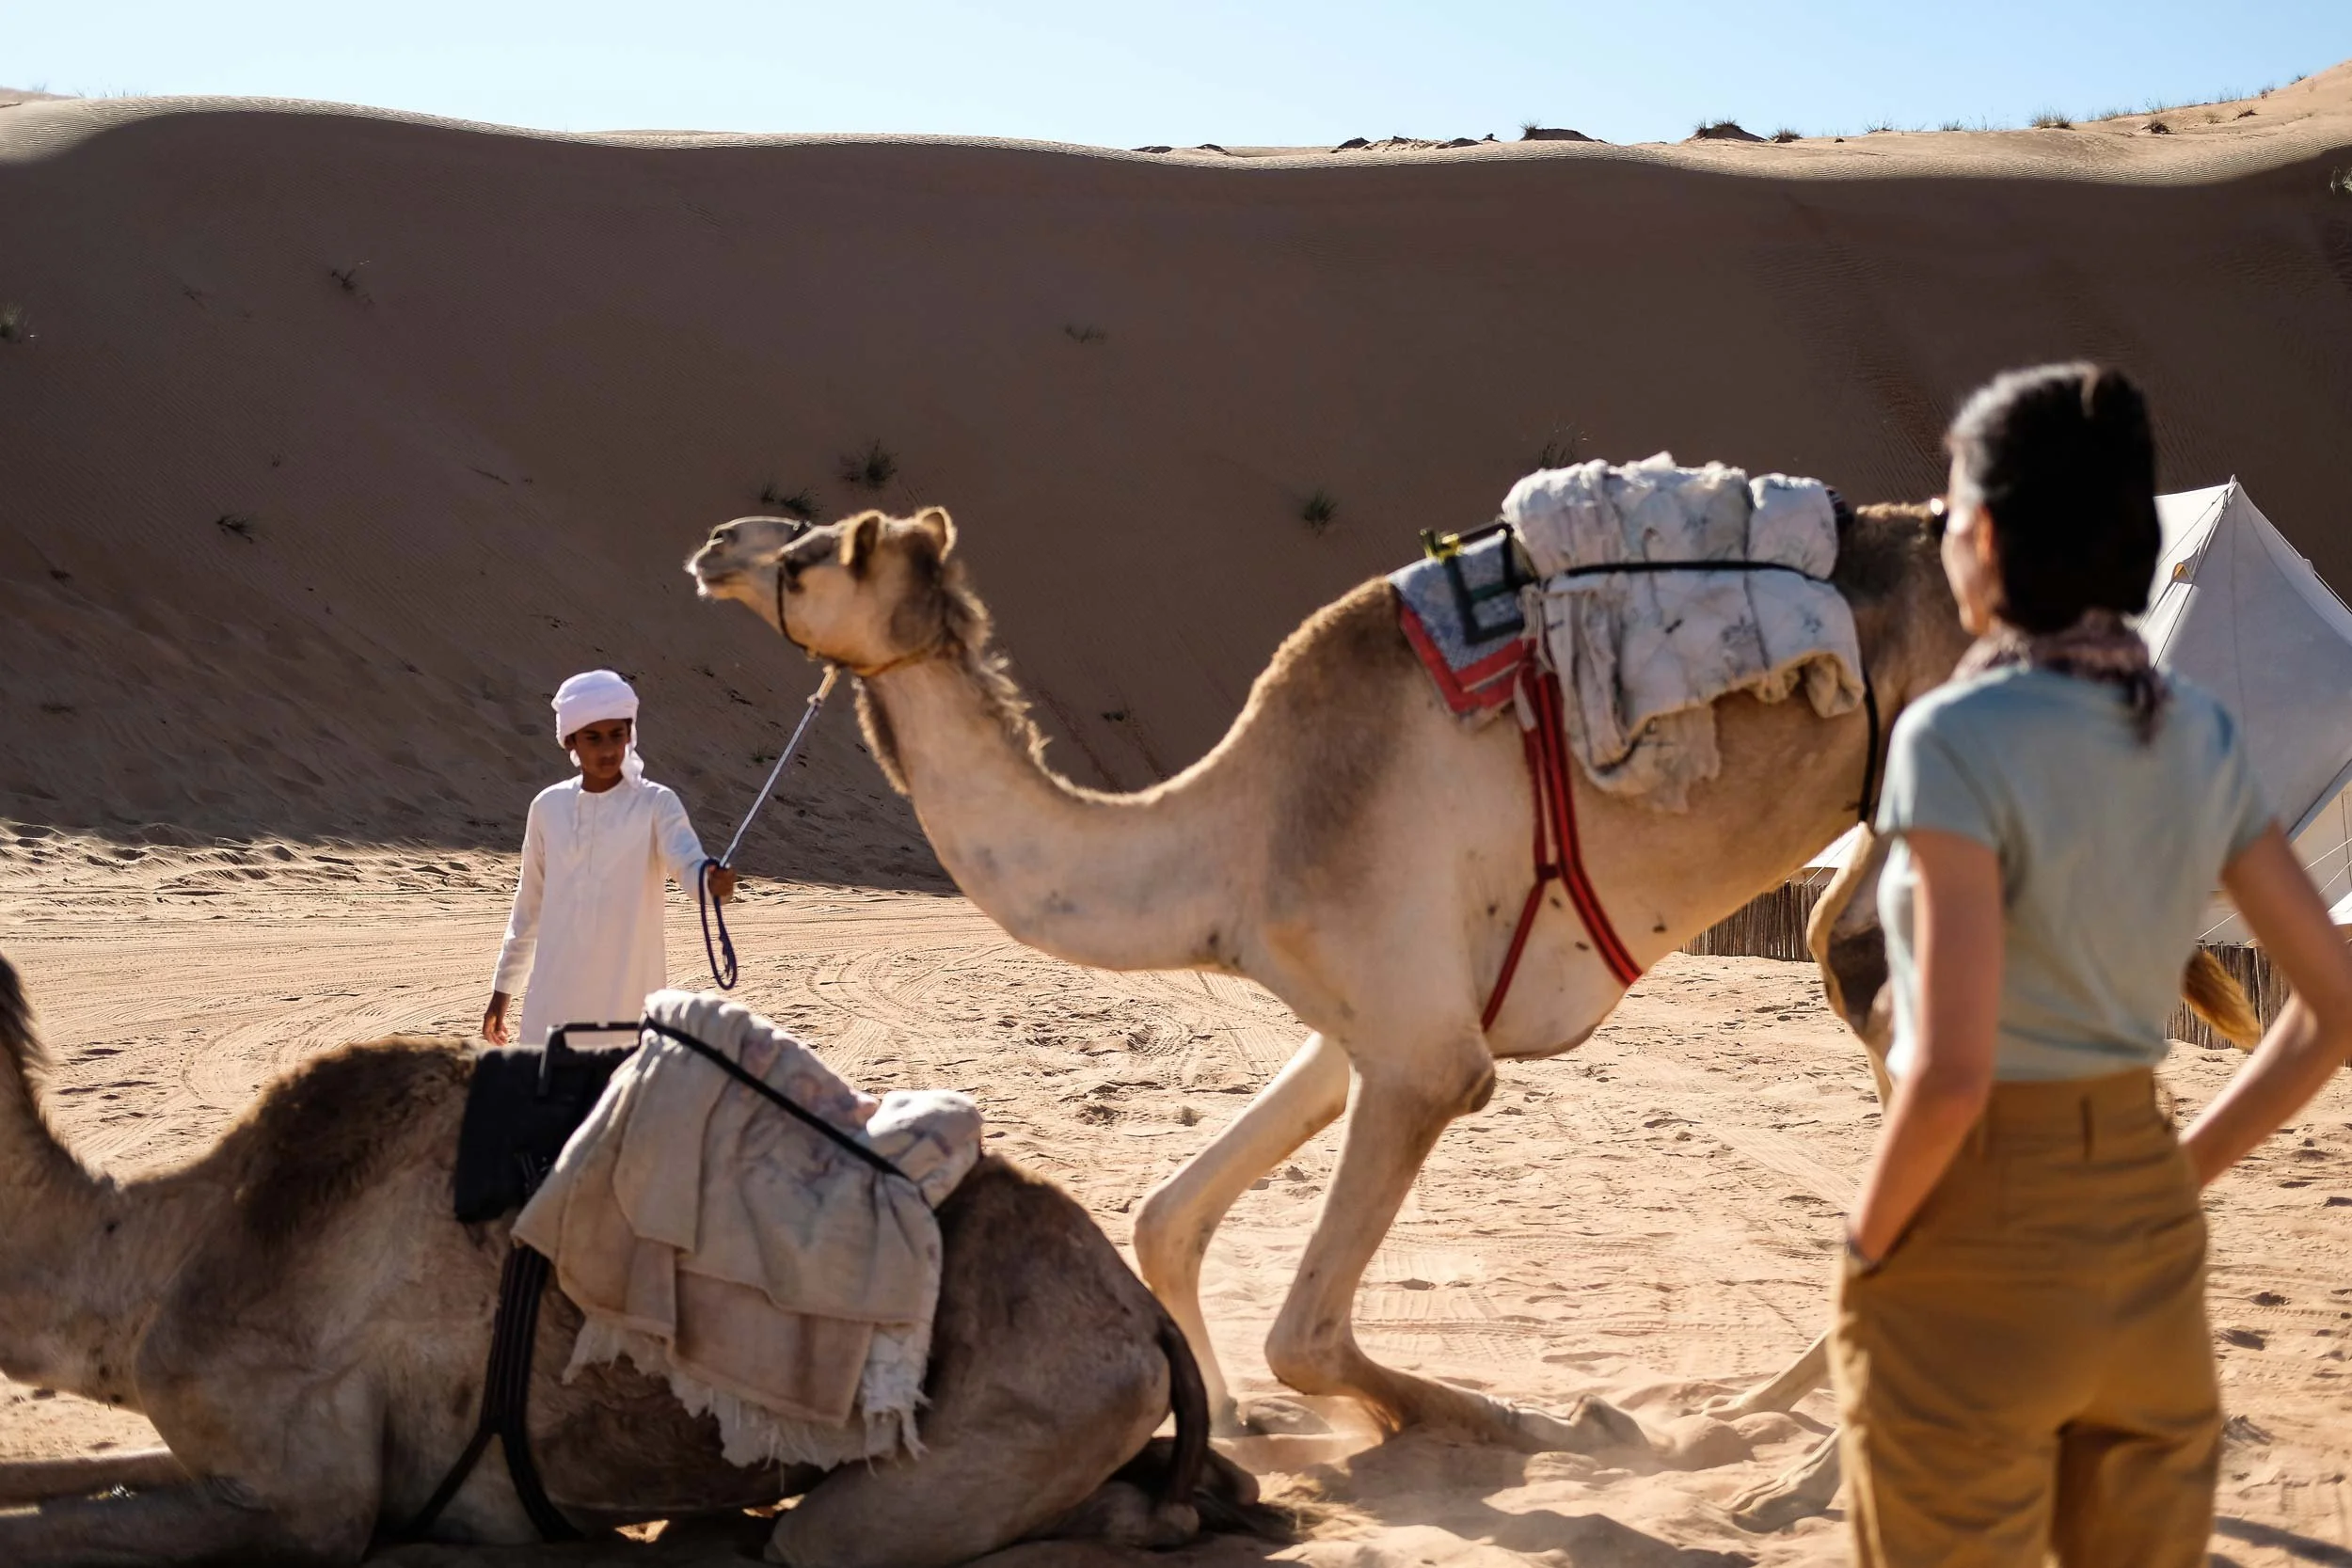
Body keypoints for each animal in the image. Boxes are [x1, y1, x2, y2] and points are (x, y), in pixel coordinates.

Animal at [686, 497, 1982, 1462]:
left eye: (806, 554)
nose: (713, 544)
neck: (1231, 838)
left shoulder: (1426, 1057)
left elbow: (1303, 1334)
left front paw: (1545, 1419)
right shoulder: (1351, 1025)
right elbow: (1167, 1218)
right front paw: (1233, 1423)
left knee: (1882, 988)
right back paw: (1756, 1418)